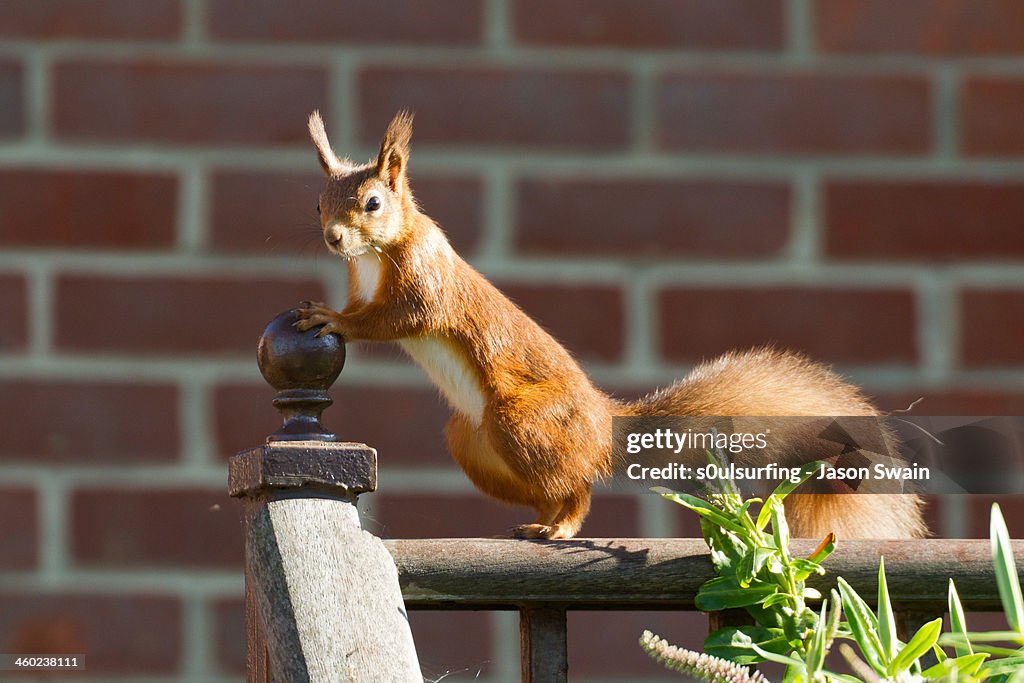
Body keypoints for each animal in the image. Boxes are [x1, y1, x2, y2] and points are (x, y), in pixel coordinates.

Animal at [296, 111, 929, 540]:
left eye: (373, 203)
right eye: (317, 203)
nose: (333, 239)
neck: (375, 256)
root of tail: (602, 427)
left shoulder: (425, 280)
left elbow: (399, 319)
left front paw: (332, 319)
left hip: (521, 420)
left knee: (577, 489)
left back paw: (561, 525)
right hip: (472, 439)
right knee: (554, 487)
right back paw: (539, 521)